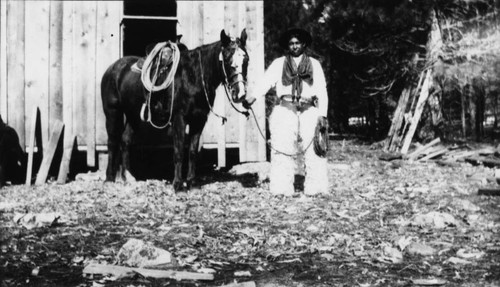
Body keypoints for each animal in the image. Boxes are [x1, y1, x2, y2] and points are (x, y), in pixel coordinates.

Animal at [101, 29, 250, 192]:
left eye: (246, 60)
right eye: (228, 59)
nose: (240, 94)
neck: (193, 76)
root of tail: (112, 68)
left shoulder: (199, 120)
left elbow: (192, 151)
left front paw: (191, 182)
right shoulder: (180, 118)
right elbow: (179, 151)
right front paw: (178, 184)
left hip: (133, 115)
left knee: (125, 141)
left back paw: (128, 177)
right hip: (112, 112)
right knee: (112, 141)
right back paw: (109, 179)